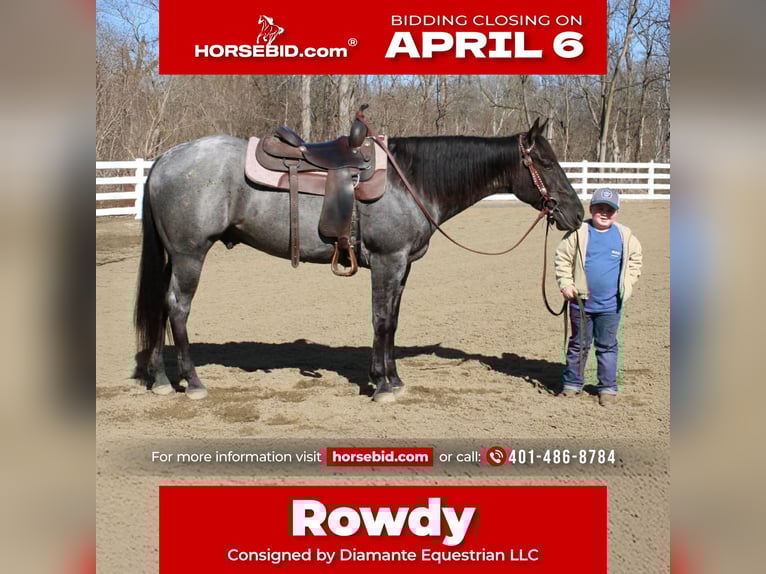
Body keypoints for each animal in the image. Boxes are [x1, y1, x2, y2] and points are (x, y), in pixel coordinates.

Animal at [134, 118, 584, 402]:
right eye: (545, 162)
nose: (577, 214)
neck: (411, 180)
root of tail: (165, 159)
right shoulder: (388, 261)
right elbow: (381, 320)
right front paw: (382, 386)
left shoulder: (402, 266)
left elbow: (392, 321)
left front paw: (391, 378)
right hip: (191, 254)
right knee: (178, 307)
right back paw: (192, 382)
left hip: (176, 256)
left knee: (160, 307)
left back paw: (159, 379)